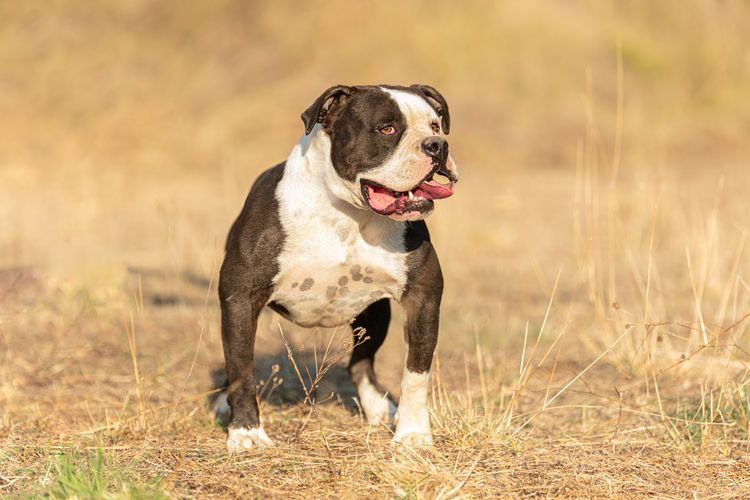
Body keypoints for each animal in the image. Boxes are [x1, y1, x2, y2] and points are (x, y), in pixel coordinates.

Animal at [217, 84, 458, 452]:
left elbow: (416, 374)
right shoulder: (241, 298)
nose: (438, 146)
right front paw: (246, 432)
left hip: (375, 315)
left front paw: (413, 435)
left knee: (361, 362)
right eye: (387, 129)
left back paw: (378, 407)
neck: (349, 214)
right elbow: (241, 367)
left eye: (435, 125)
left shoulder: (423, 298)